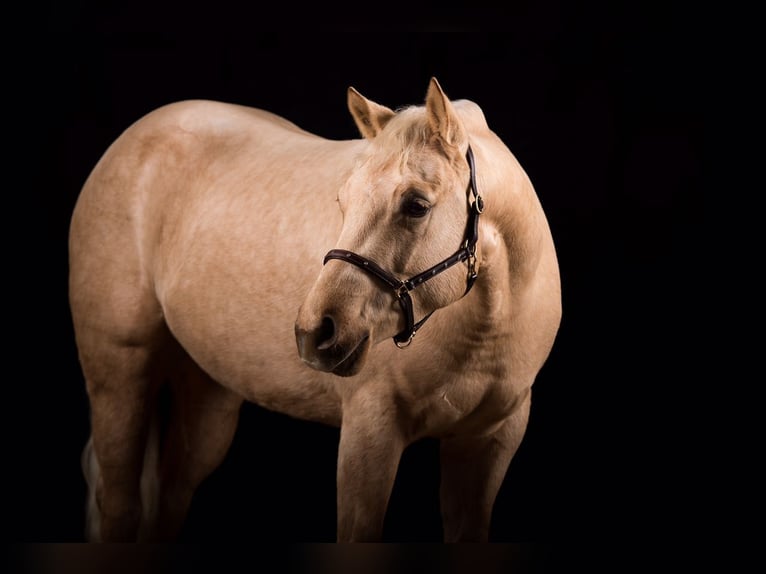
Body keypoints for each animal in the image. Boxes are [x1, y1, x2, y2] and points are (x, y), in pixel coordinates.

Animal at [69, 77, 562, 542]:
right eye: (343, 200)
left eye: (417, 205)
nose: (315, 332)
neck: (487, 330)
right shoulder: (370, 432)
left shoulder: (489, 442)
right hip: (118, 376)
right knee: (120, 506)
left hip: (209, 395)